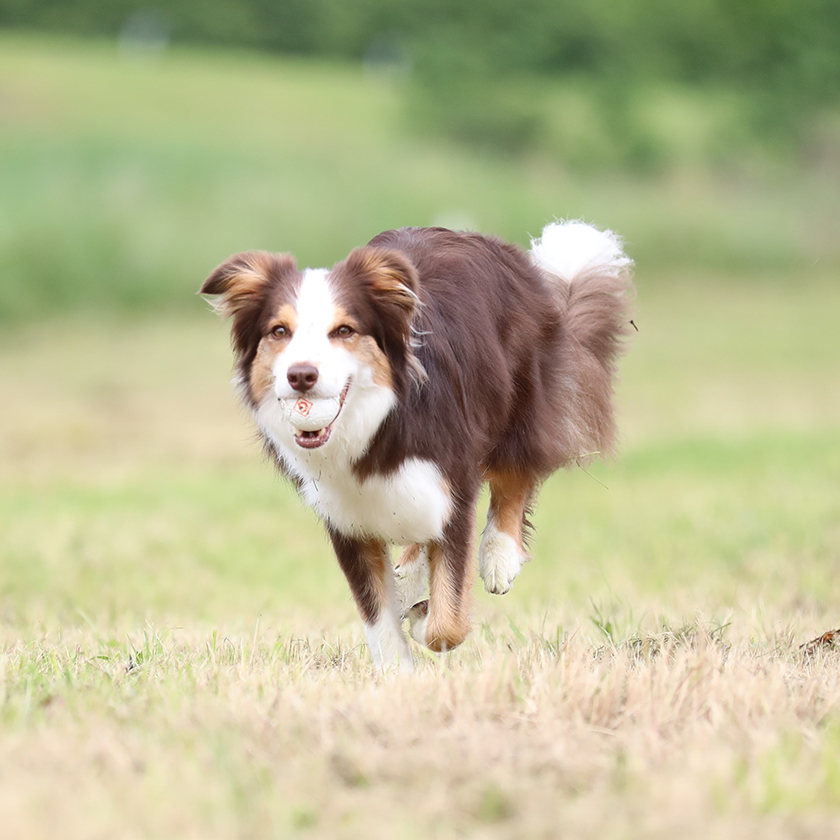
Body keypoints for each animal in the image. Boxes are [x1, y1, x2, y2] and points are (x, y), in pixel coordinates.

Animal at [200, 220, 632, 672]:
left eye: (344, 331)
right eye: (279, 332)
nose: (301, 376)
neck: (374, 429)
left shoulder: (453, 485)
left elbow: (447, 621)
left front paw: (425, 616)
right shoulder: (345, 519)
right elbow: (377, 616)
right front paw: (398, 673)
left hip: (520, 402)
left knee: (516, 472)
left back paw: (498, 556)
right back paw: (409, 575)